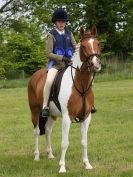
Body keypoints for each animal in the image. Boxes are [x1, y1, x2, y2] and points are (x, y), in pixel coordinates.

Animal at [27, 25, 101, 173]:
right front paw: (62, 167)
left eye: (98, 44)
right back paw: (37, 156)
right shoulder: (67, 117)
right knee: (37, 131)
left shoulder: (86, 117)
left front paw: (87, 164)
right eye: (84, 46)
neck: (80, 85)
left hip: (52, 115)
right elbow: (64, 143)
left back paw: (50, 155)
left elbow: (84, 142)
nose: (96, 64)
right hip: (35, 111)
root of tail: (34, 76)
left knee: (47, 130)